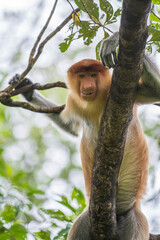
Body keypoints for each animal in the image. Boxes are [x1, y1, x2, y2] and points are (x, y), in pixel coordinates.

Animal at [9, 32, 160, 240]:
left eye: (93, 75)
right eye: (82, 75)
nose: (87, 85)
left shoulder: (124, 89)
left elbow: (157, 90)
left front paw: (113, 40)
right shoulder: (74, 101)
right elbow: (71, 125)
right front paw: (28, 89)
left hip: (133, 218)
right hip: (89, 217)